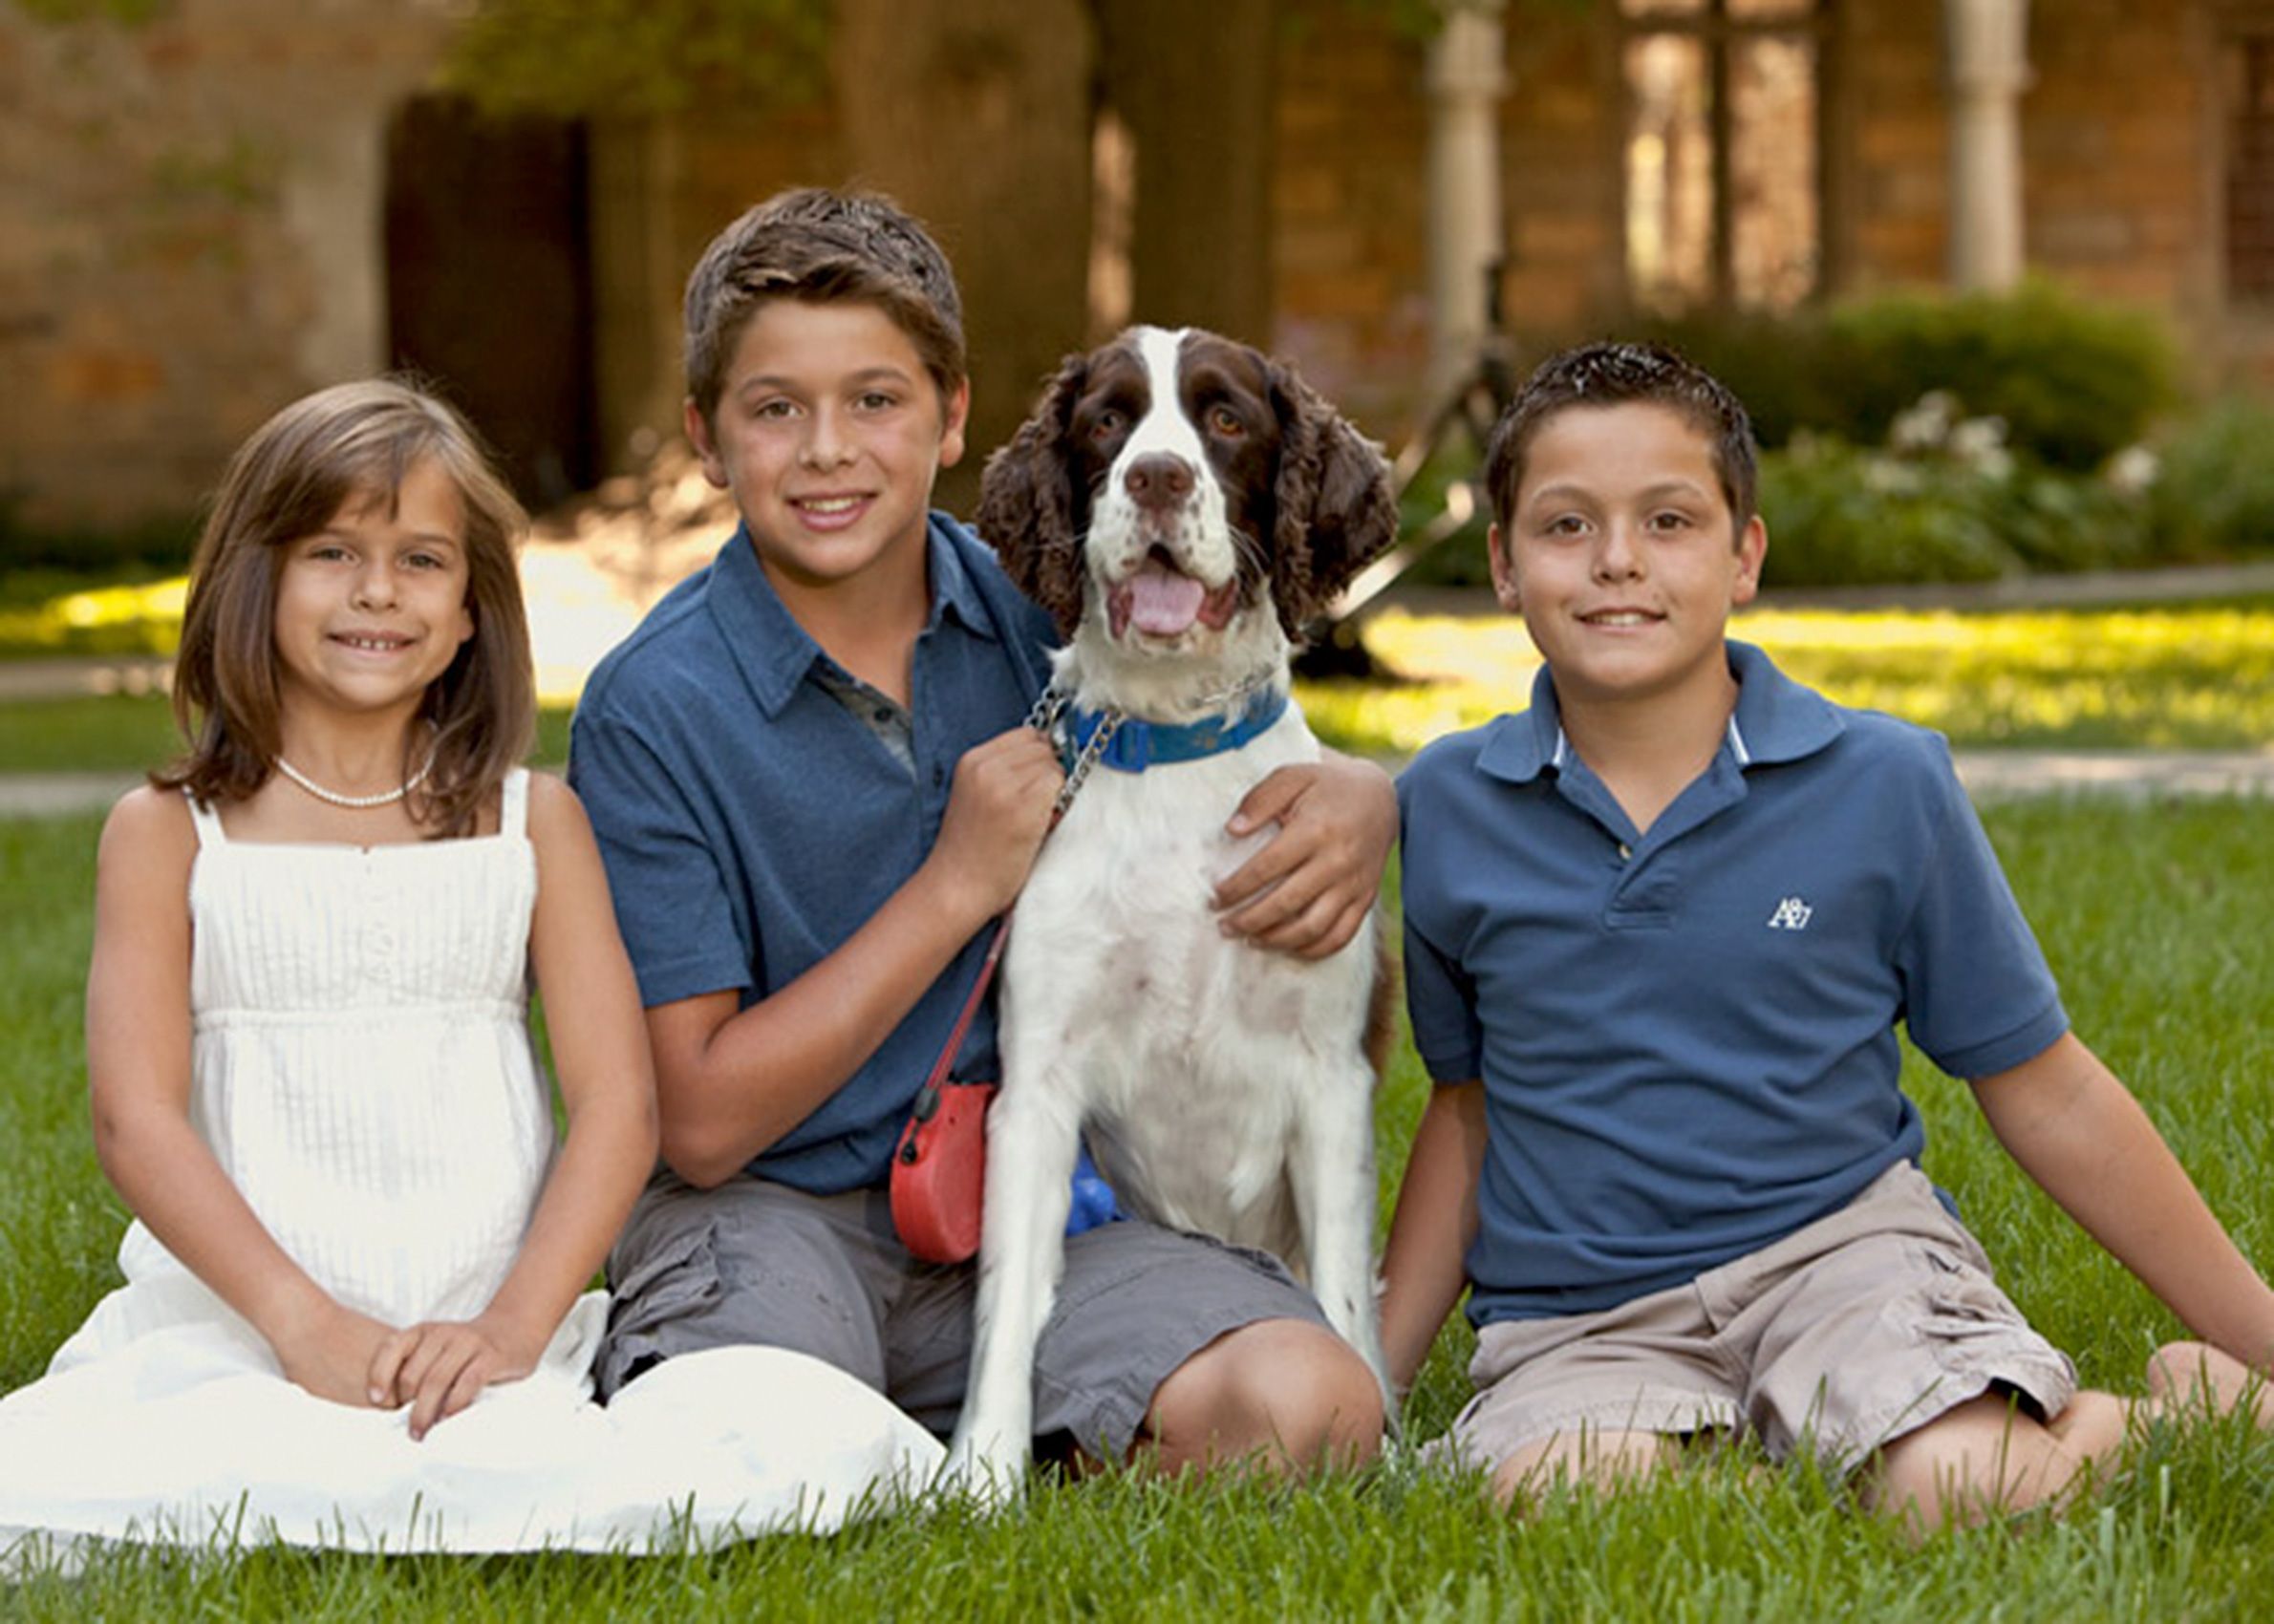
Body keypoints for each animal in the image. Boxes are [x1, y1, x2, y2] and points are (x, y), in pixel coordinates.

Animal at [941, 318, 1401, 1491]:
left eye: (1226, 417)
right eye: (1108, 419)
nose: (1156, 476)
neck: (1175, 746)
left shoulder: (1332, 1082)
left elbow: (1342, 1305)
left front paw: (1390, 1464)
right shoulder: (1037, 1086)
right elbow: (1006, 1302)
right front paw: (984, 1474)